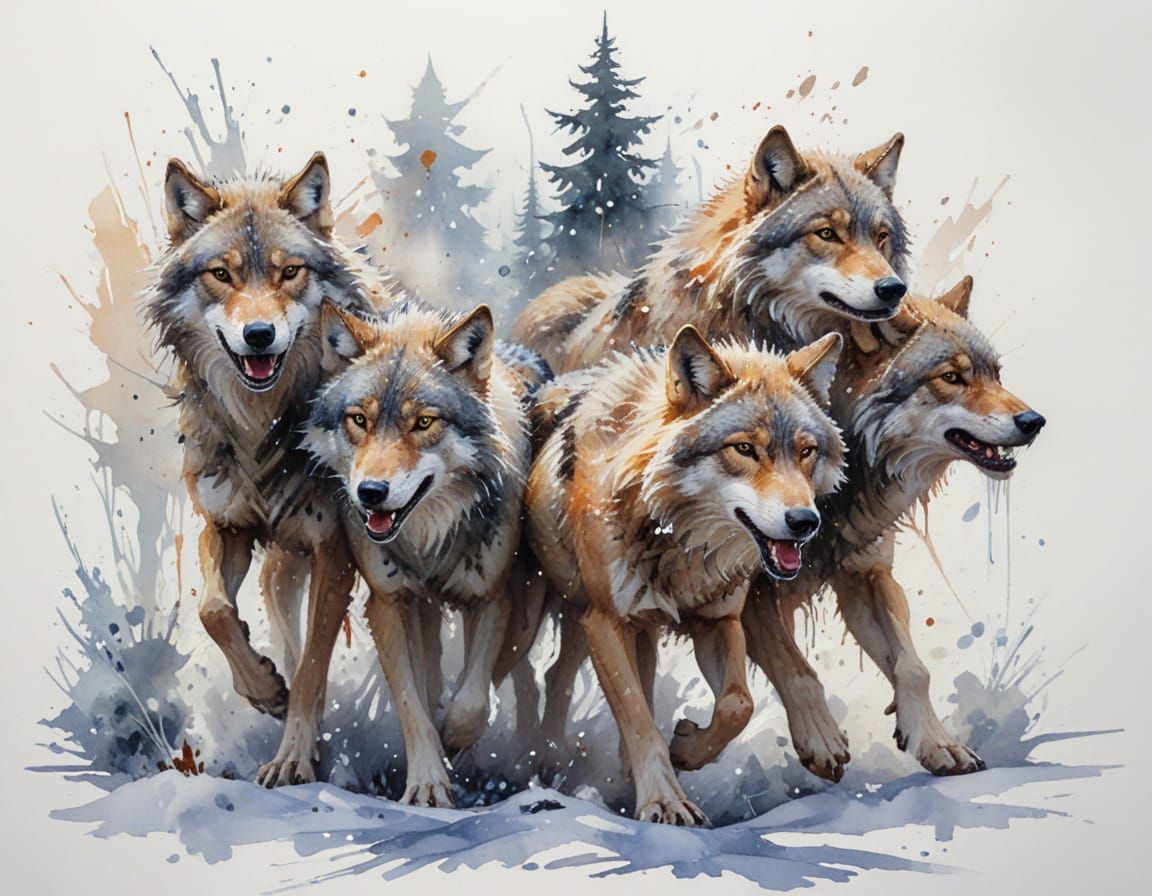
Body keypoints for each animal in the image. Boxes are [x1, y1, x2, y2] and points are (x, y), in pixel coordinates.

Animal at [147, 153, 393, 786]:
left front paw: (292, 758)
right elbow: (214, 611)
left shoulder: (335, 554)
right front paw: (263, 690)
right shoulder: (225, 526)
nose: (259, 335)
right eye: (222, 274)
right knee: (283, 628)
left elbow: (312, 670)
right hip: (281, 569)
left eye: (289, 273)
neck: (263, 427)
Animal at [305, 299, 548, 807]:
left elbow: (472, 702)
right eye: (360, 420)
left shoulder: (492, 599)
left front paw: (452, 740)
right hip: (424, 610)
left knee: (522, 683)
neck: (428, 539)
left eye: (422, 422)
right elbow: (410, 699)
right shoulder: (388, 603)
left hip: (523, 619)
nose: (370, 492)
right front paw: (428, 781)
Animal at [525, 327, 846, 824]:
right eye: (744, 449)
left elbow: (737, 705)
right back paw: (549, 757)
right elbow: (639, 720)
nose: (804, 522)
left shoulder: (717, 621)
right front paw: (664, 801)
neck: (676, 539)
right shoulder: (605, 623)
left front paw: (686, 748)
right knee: (554, 677)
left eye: (806, 452)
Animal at [742, 278, 1047, 781]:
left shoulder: (866, 573)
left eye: (996, 374)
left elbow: (913, 668)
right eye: (952, 377)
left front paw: (937, 743)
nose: (1034, 422)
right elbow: (796, 669)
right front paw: (820, 738)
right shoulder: (746, 594)